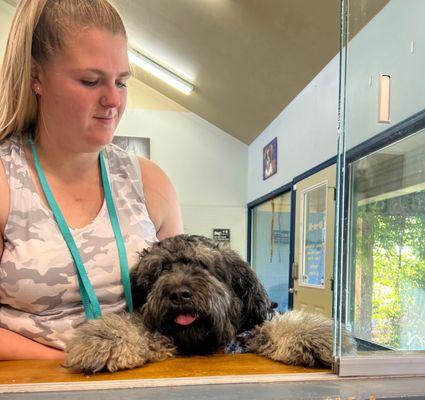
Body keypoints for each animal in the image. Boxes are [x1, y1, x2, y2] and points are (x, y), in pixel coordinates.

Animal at [63, 233, 354, 374]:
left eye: (202, 265)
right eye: (160, 270)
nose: (179, 294)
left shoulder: (248, 333)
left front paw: (316, 334)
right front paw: (106, 338)